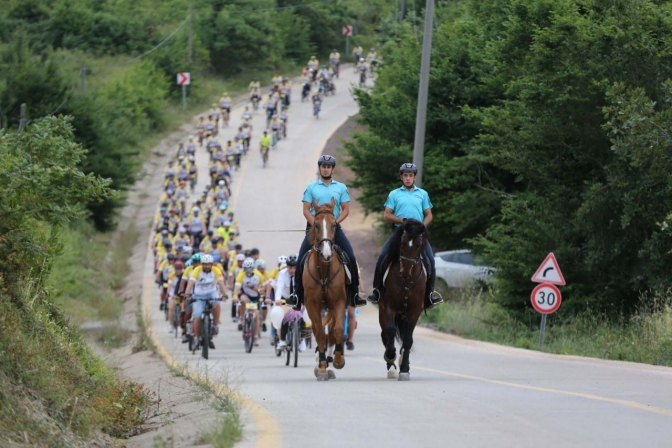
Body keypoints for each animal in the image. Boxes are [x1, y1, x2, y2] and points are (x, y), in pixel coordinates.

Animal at [304, 198, 350, 380]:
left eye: (334, 224)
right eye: (316, 225)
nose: (326, 253)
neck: (323, 270)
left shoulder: (339, 302)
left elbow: (337, 330)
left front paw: (338, 360)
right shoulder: (312, 306)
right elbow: (319, 334)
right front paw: (322, 367)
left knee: (331, 332)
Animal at [378, 219, 426, 380]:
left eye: (418, 245)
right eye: (403, 242)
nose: (404, 272)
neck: (406, 281)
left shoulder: (414, 311)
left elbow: (408, 339)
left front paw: (404, 368)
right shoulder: (389, 308)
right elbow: (391, 331)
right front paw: (390, 356)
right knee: (385, 334)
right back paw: (391, 367)